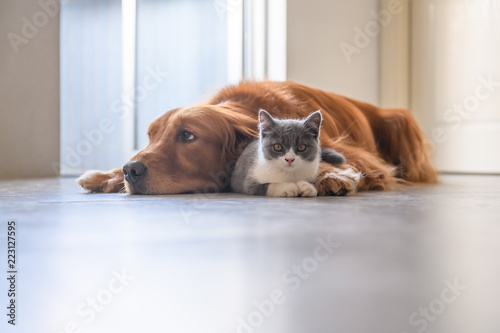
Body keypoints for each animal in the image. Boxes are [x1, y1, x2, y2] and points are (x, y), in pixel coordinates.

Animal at [76, 80, 436, 195]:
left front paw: (333, 176)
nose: (131, 170)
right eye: (150, 136)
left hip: (402, 120)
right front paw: (104, 176)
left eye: (187, 135)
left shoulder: (355, 152)